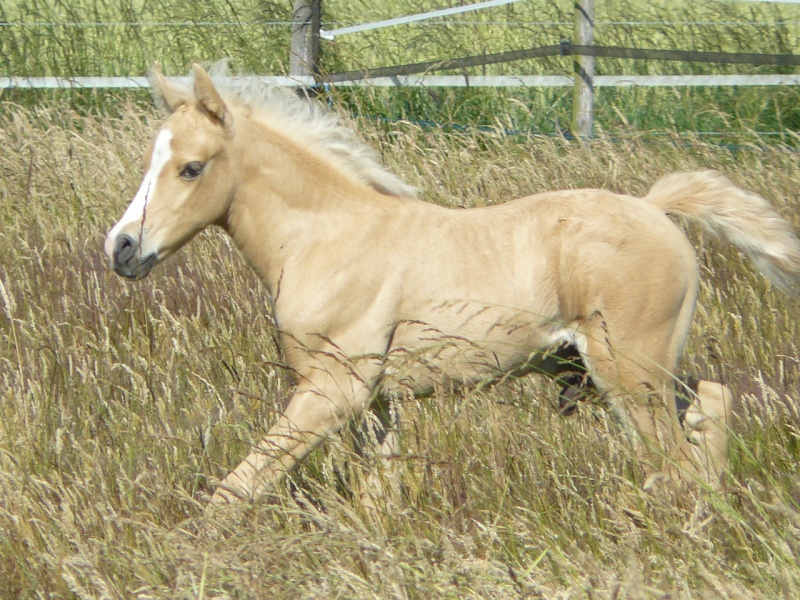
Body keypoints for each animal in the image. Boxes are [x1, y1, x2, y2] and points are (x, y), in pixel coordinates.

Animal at [106, 65, 800, 504]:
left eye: (192, 168)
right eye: (149, 159)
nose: (122, 248)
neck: (324, 237)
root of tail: (656, 208)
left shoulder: (332, 390)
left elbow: (240, 486)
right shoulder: (375, 404)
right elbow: (378, 496)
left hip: (630, 371)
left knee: (676, 459)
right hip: (633, 370)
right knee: (711, 404)